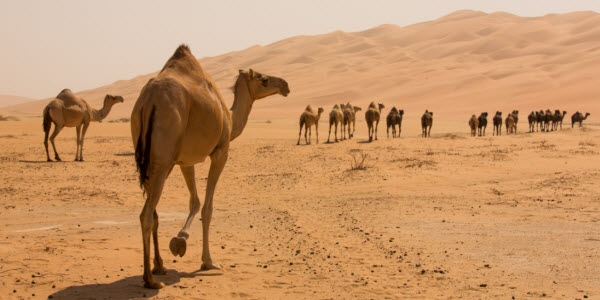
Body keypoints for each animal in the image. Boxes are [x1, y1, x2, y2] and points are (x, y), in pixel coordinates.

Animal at [131, 44, 290, 288]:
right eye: (263, 79)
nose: (285, 85)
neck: (230, 118)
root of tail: (150, 100)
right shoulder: (220, 152)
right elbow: (207, 208)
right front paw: (208, 261)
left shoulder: (185, 160)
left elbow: (194, 201)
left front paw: (180, 241)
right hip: (163, 159)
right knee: (146, 215)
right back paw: (150, 280)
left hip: (150, 159)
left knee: (154, 212)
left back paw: (160, 267)